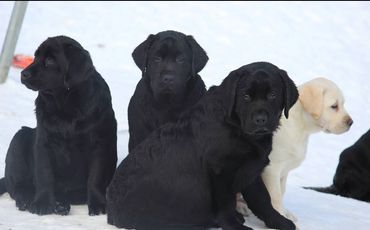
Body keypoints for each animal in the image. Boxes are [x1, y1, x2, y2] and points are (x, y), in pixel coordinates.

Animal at [0, 35, 117, 216]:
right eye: (35, 57)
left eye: (50, 60)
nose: (23, 73)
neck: (65, 105)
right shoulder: (43, 143)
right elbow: (45, 174)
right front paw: (42, 203)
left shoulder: (100, 145)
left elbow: (95, 177)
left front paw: (98, 204)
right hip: (19, 138)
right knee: (18, 187)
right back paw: (31, 201)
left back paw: (61, 205)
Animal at [106, 61, 298, 230]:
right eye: (245, 96)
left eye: (272, 95)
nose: (260, 120)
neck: (236, 127)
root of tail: (111, 212)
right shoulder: (220, 171)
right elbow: (226, 203)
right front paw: (233, 225)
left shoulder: (251, 169)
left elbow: (262, 199)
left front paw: (279, 221)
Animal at [237, 77, 352, 221]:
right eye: (334, 106)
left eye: (342, 104)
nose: (351, 122)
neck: (300, 126)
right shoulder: (272, 169)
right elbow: (275, 195)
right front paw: (279, 215)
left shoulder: (284, 171)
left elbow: (282, 191)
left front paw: (284, 213)